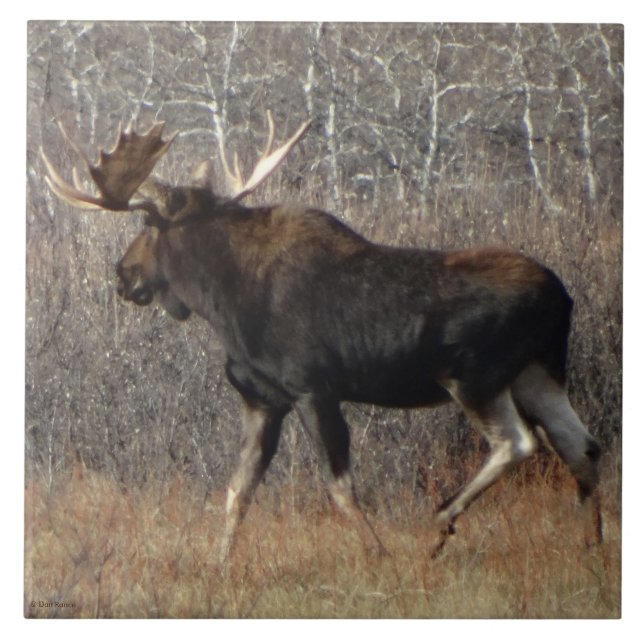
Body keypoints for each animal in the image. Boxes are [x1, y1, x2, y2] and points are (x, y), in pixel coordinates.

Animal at [40, 111, 602, 564]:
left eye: (150, 227)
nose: (123, 275)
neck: (221, 299)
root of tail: (562, 296)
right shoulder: (263, 399)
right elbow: (237, 491)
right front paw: (218, 563)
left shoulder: (314, 388)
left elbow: (339, 488)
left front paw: (379, 554)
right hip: (539, 371)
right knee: (582, 444)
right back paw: (591, 546)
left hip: (475, 376)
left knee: (518, 442)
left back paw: (440, 524)